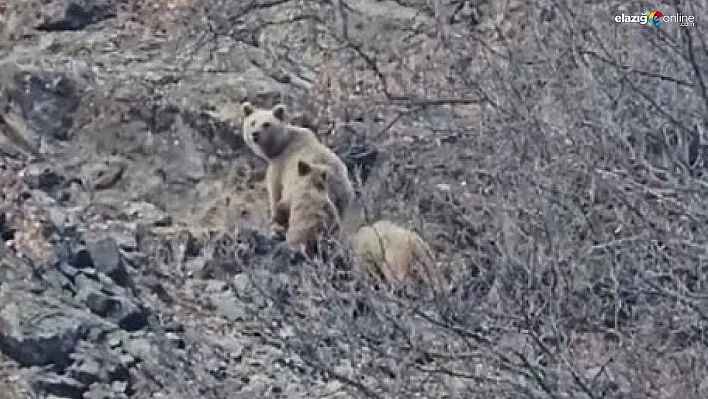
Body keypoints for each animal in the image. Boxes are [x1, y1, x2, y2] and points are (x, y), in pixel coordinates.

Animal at [241, 101, 354, 230]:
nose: (255, 134)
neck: (280, 147)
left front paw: (273, 220)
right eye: (253, 122)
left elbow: (275, 192)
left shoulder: (280, 166)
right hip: (343, 198)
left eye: (266, 124)